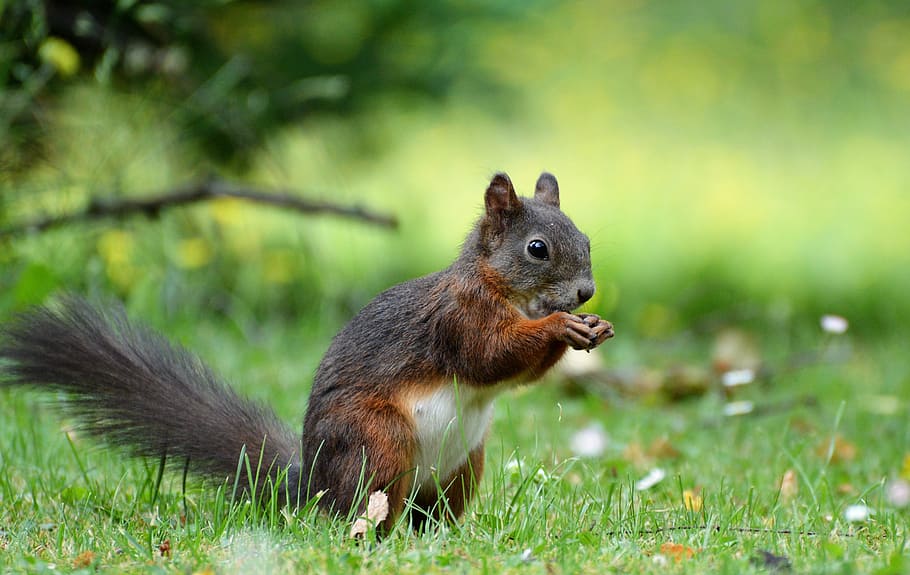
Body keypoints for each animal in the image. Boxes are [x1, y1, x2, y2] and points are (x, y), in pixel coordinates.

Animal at [0, 172, 613, 531]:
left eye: (586, 240)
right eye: (537, 249)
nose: (586, 293)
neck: (500, 289)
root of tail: (313, 488)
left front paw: (592, 326)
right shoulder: (457, 319)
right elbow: (490, 356)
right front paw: (562, 326)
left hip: (464, 466)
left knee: (429, 514)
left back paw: (442, 540)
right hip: (376, 442)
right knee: (367, 509)